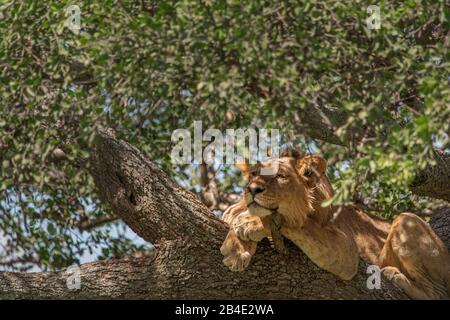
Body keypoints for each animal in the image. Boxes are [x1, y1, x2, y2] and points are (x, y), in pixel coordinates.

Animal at [221, 149, 450, 298]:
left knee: (437, 293)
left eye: (280, 176)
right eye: (253, 174)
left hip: (407, 219)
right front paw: (236, 248)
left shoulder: (346, 251)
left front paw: (248, 223)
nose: (252, 189)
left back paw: (394, 275)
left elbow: (295, 223)